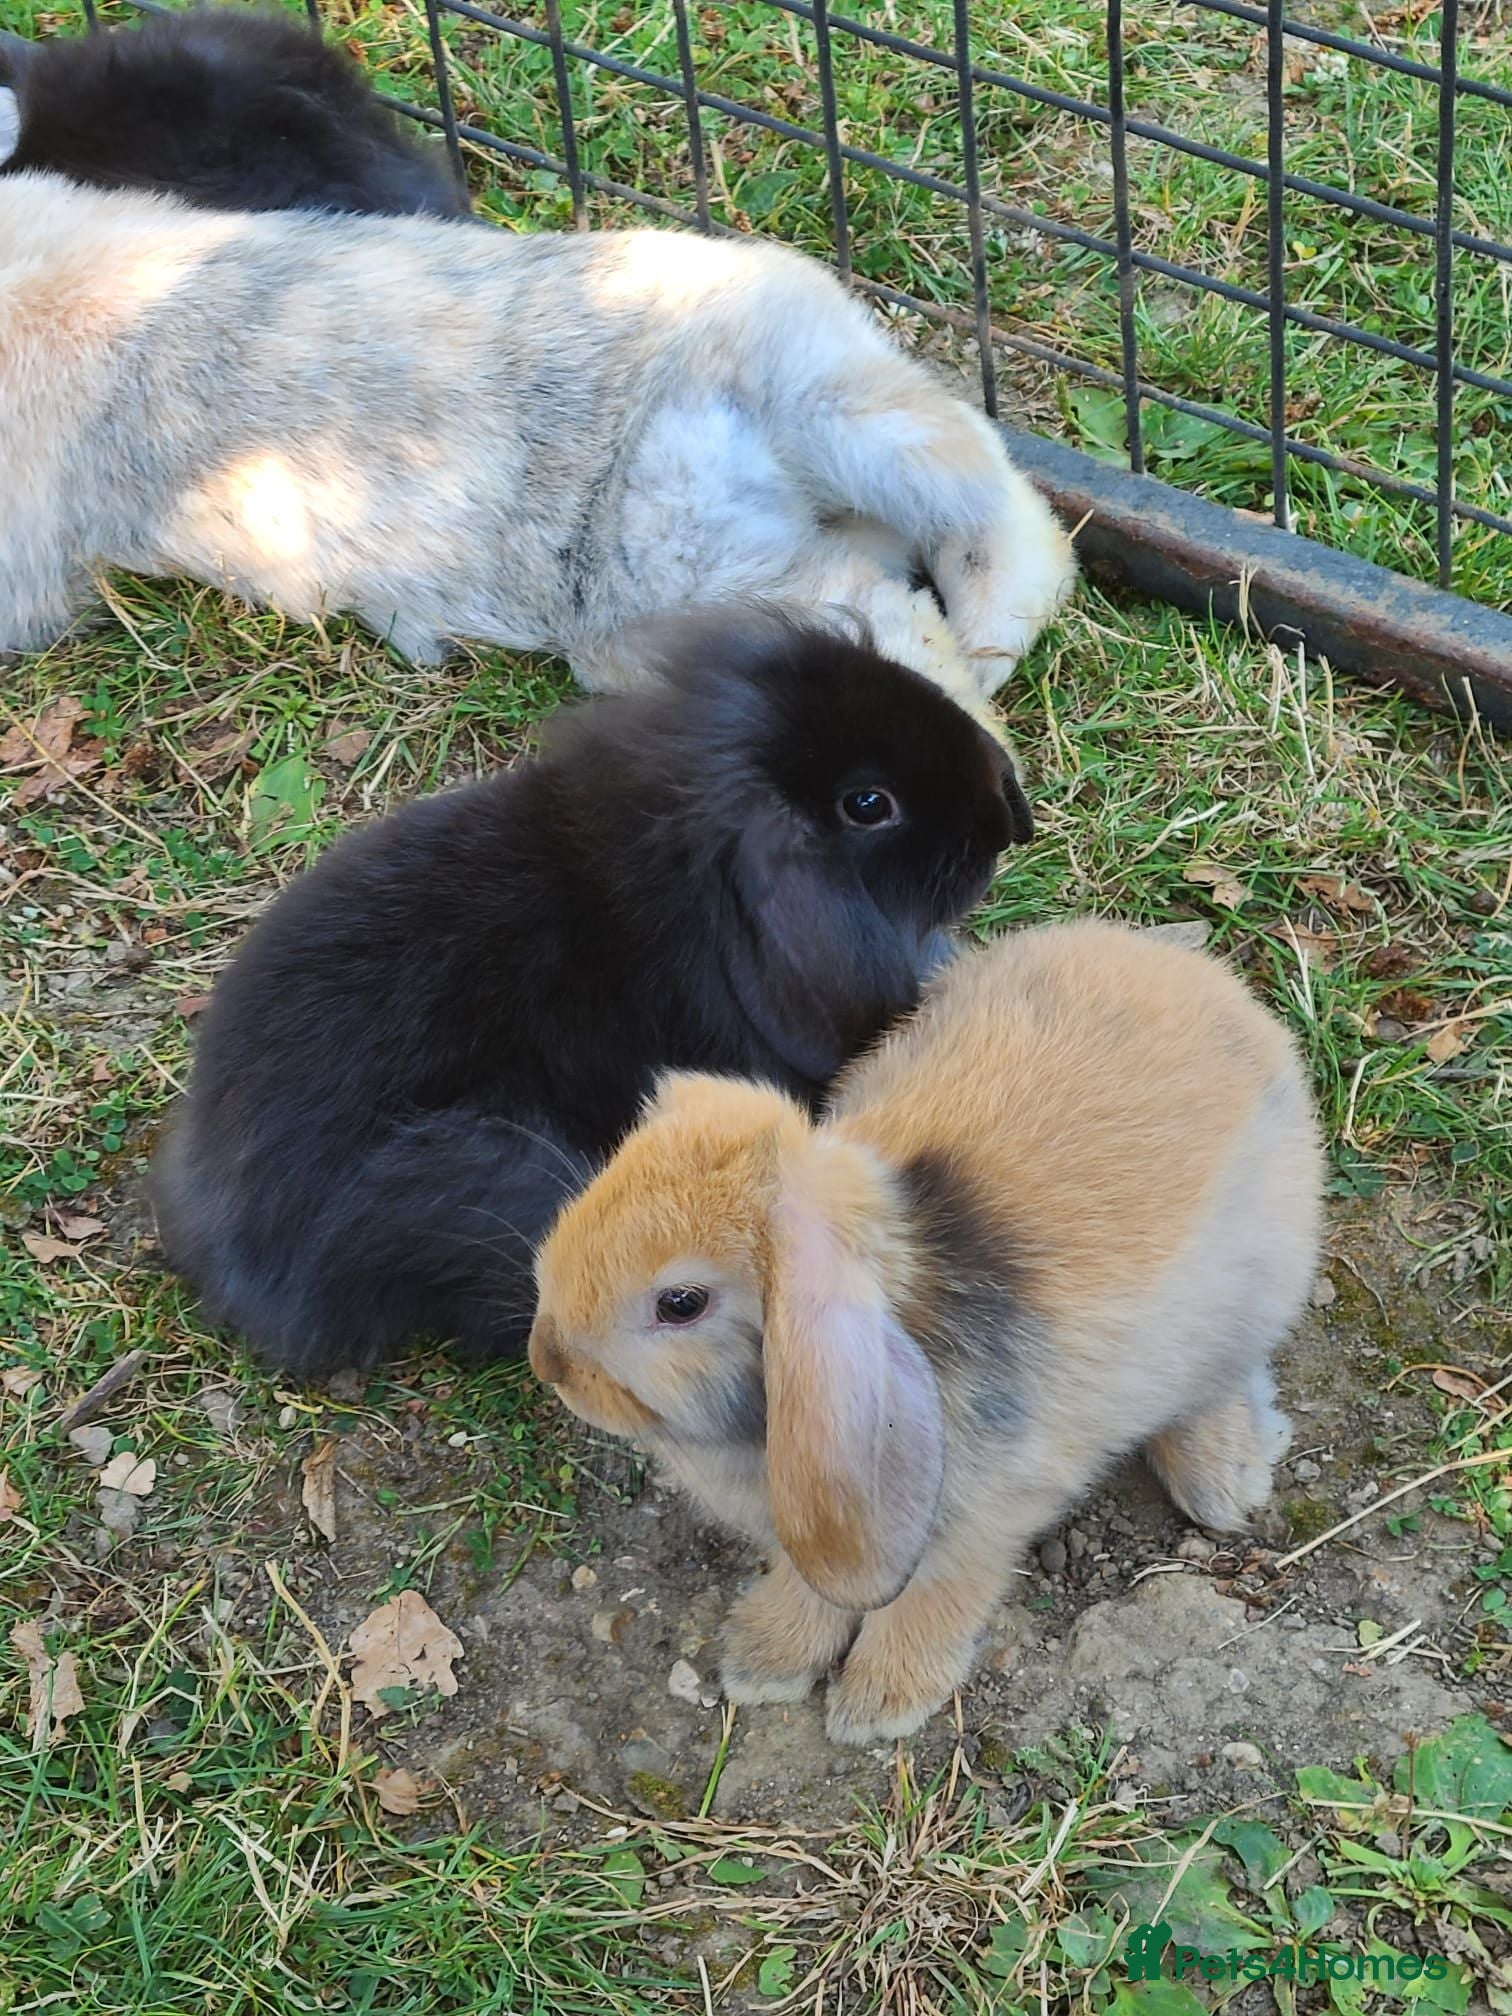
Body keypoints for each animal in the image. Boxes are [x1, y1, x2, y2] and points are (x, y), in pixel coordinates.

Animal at [528, 918, 1323, 1746]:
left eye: (681, 1303)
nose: (549, 1360)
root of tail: (1213, 986)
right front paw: (763, 1660)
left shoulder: (985, 1516)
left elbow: (935, 1594)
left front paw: (878, 1705)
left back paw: (1224, 1479)